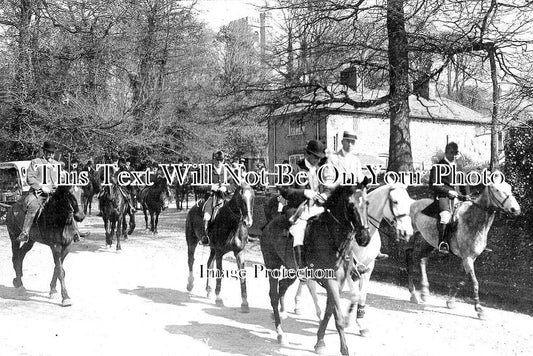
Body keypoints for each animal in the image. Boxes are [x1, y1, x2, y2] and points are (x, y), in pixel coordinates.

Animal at [186, 184, 255, 312]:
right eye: (240, 197)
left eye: (252, 197)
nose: (247, 221)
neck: (232, 223)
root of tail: (191, 209)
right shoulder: (219, 252)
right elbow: (220, 273)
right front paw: (219, 298)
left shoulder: (239, 252)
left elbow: (242, 274)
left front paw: (244, 303)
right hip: (191, 241)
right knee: (191, 260)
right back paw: (190, 284)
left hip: (212, 249)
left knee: (209, 264)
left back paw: (208, 289)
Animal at [260, 182, 368, 354]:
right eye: (351, 205)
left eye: (367, 203)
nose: (364, 237)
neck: (332, 239)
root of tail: (269, 225)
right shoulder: (330, 281)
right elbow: (337, 316)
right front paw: (344, 349)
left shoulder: (339, 282)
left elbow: (329, 311)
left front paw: (320, 342)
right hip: (273, 267)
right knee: (274, 296)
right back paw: (280, 333)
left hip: (292, 270)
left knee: (282, 286)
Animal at [408, 179, 520, 318]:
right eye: (497, 189)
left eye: (509, 187)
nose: (516, 209)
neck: (474, 219)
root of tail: (413, 203)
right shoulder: (467, 258)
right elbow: (475, 283)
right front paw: (479, 309)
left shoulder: (470, 258)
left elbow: (462, 280)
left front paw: (450, 302)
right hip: (412, 237)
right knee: (409, 260)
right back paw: (413, 294)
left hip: (429, 242)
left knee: (422, 259)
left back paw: (424, 292)